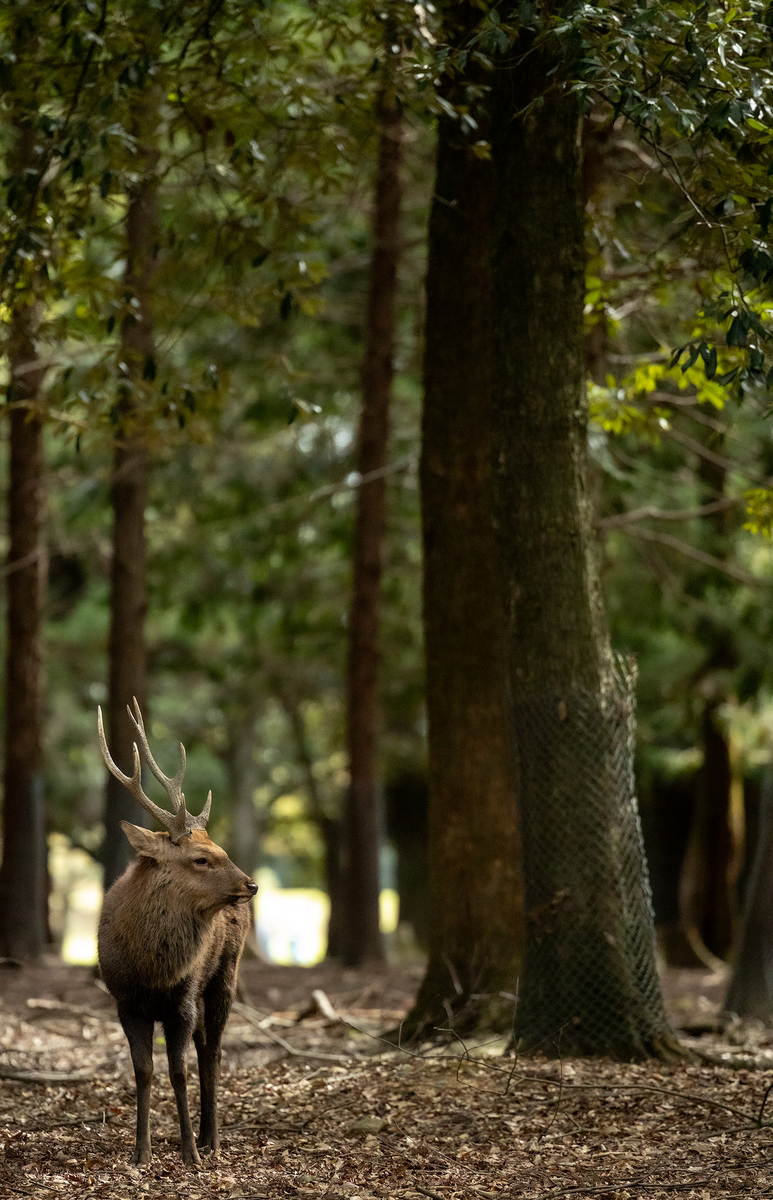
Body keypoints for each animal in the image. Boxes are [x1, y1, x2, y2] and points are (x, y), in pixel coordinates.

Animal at [96, 700, 258, 1166]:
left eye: (221, 849)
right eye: (201, 858)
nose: (251, 885)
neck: (152, 971)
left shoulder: (181, 1000)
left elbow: (179, 1071)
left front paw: (189, 1152)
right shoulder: (125, 1002)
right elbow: (144, 1071)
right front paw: (141, 1152)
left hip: (225, 972)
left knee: (213, 1051)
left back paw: (211, 1140)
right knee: (205, 1045)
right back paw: (204, 1136)